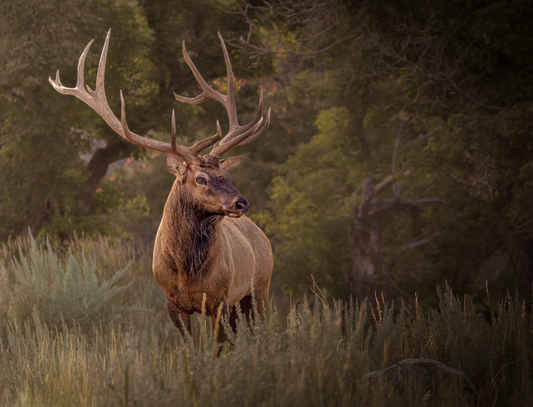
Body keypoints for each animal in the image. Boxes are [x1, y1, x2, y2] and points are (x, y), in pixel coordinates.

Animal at [47, 30, 272, 342]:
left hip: (260, 287)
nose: (242, 202)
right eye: (200, 178)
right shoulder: (172, 301)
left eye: (225, 175)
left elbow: (218, 347)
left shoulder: (219, 298)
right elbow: (190, 349)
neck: (188, 274)